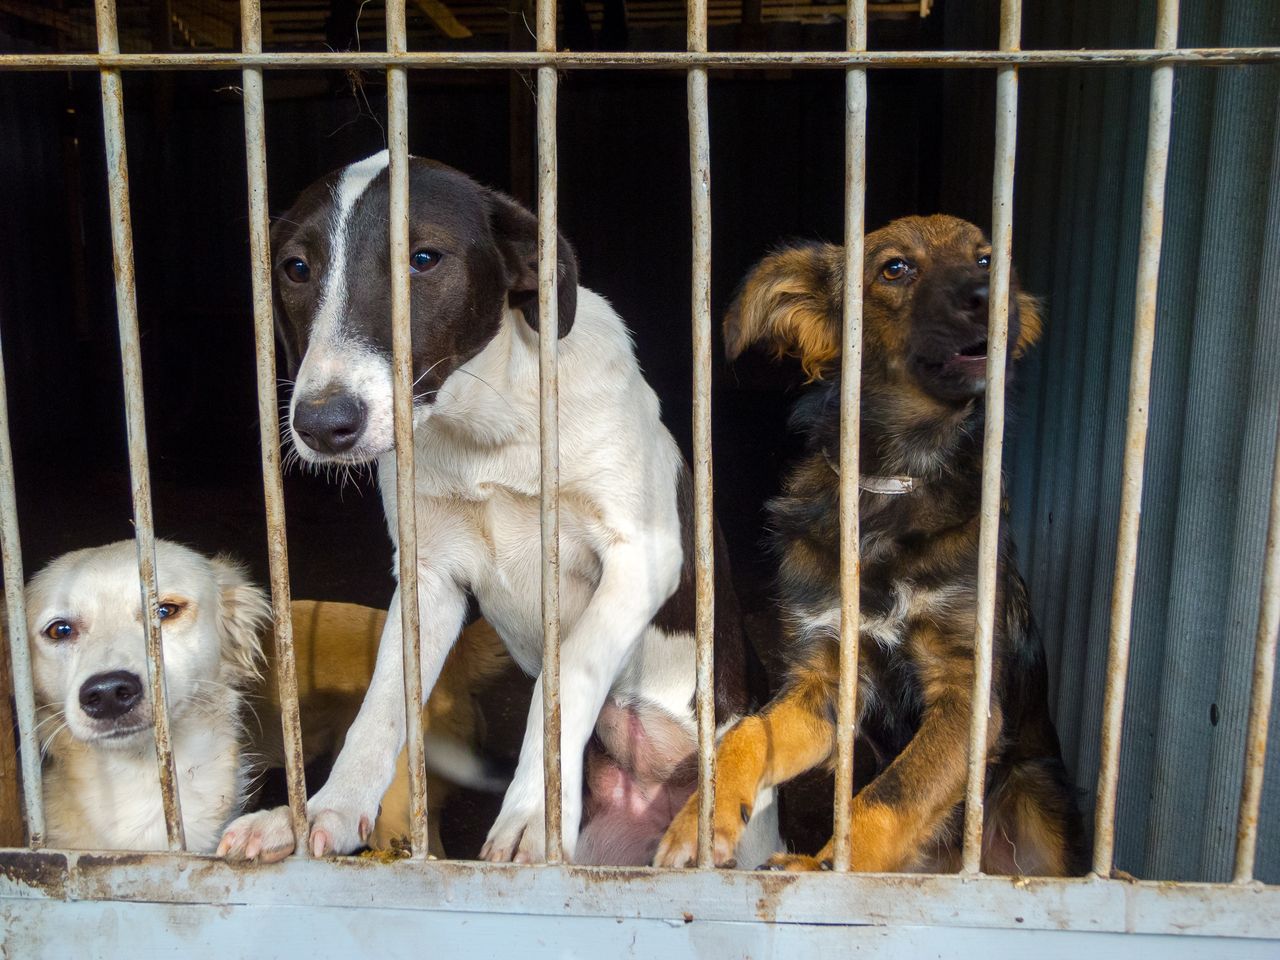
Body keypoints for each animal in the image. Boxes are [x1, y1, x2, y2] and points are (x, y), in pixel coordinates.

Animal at [217, 154, 778, 870]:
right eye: (295, 267)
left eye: (424, 258)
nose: (322, 425)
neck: (488, 428)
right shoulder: (427, 576)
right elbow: (382, 701)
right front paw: (325, 810)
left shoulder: (645, 556)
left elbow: (566, 676)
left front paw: (532, 814)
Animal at [655, 213, 1085, 875]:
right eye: (895, 268)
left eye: (987, 259)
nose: (992, 299)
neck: (893, 483)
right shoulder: (827, 681)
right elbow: (748, 733)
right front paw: (702, 821)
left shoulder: (967, 696)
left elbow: (890, 796)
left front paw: (821, 868)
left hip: (1035, 797)